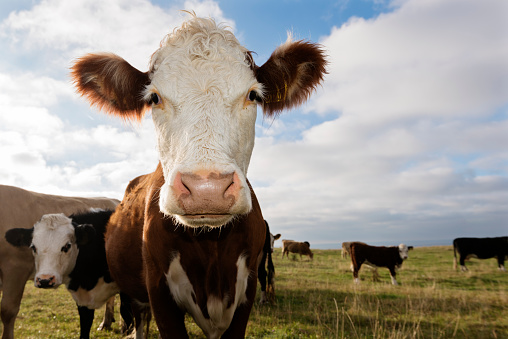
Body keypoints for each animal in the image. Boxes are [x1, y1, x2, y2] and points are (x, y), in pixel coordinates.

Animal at [70, 13, 326, 339]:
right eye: (154, 98)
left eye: (253, 95)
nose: (207, 189)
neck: (209, 243)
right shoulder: (159, 292)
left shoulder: (246, 291)